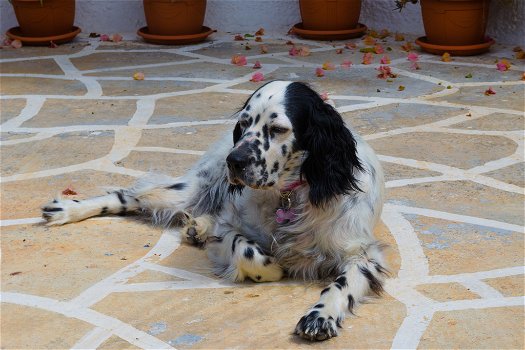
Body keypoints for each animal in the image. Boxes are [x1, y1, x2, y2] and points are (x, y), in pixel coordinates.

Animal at [42, 80, 384, 340]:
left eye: (277, 128)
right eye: (244, 124)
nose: (235, 160)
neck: (288, 197)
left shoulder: (362, 253)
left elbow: (342, 284)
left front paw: (320, 316)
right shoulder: (231, 228)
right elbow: (246, 250)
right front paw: (271, 267)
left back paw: (197, 228)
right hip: (190, 190)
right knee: (128, 195)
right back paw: (67, 209)